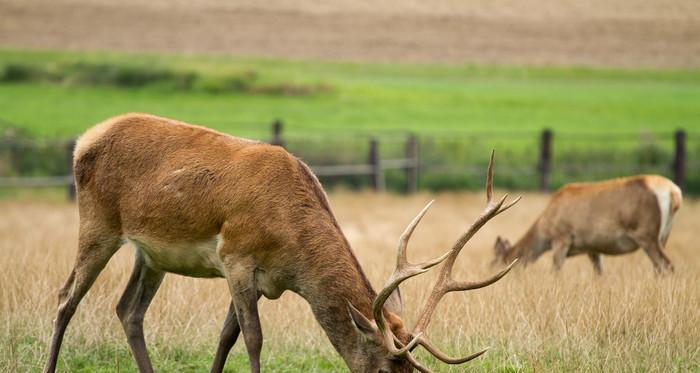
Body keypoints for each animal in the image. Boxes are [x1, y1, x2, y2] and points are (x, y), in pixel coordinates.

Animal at [43, 113, 520, 372]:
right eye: (386, 367)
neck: (293, 258)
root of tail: (83, 139)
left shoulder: (256, 278)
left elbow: (227, 336)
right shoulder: (235, 256)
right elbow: (253, 338)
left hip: (151, 255)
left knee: (128, 310)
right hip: (98, 224)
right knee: (66, 297)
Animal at [490, 174, 680, 274]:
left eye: (497, 263)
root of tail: (674, 193)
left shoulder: (562, 238)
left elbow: (556, 271)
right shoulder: (593, 247)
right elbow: (599, 274)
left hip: (647, 235)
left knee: (667, 265)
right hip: (664, 236)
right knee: (659, 267)